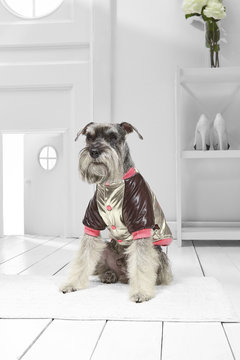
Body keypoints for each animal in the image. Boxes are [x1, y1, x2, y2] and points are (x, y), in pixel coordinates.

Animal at [60, 122, 172, 302]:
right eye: (89, 137)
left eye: (112, 137)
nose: (94, 152)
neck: (111, 183)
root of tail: (123, 276)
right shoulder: (91, 224)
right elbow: (83, 258)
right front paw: (72, 284)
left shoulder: (141, 224)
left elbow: (141, 264)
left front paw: (141, 293)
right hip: (104, 248)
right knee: (103, 268)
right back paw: (109, 274)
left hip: (158, 254)